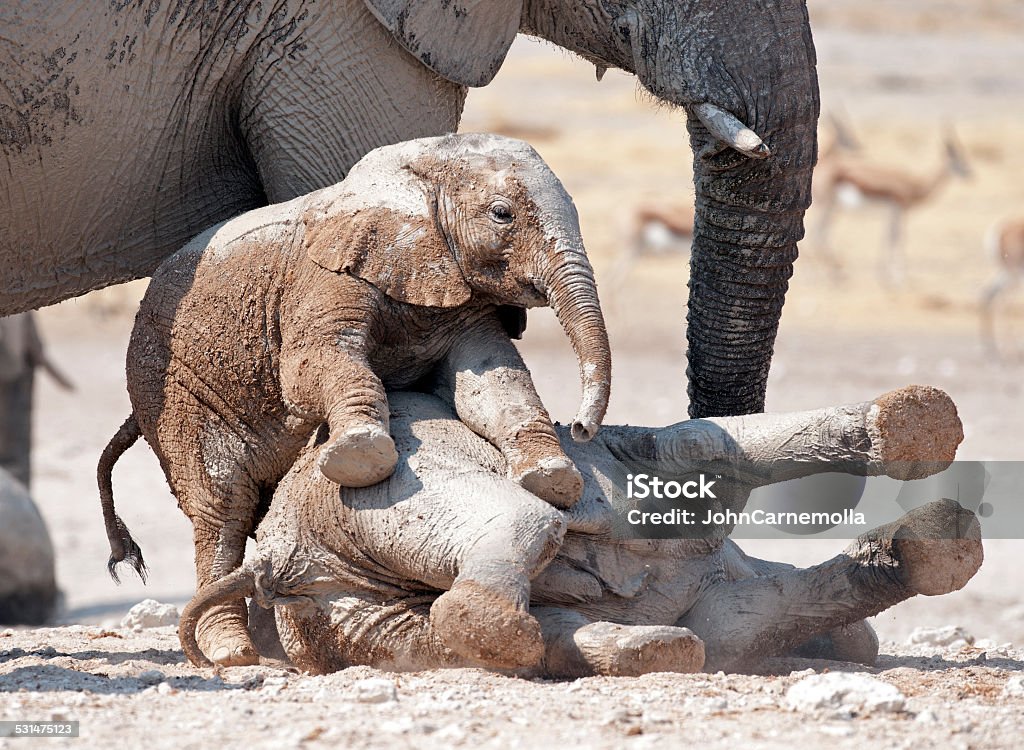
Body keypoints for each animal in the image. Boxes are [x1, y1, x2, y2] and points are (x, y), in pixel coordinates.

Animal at [99, 132, 610, 663]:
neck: (414, 171)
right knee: (222, 507)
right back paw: (232, 653)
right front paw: (361, 455)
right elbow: (313, 362)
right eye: (502, 214)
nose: (580, 427)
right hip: (172, 390)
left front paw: (551, 478)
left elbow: (489, 380)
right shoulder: (326, 277)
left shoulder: (457, 290)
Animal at [180, 387, 978, 672]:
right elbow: (707, 444)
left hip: (351, 616)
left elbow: (741, 618)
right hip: (370, 490)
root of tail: (275, 560)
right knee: (519, 535)